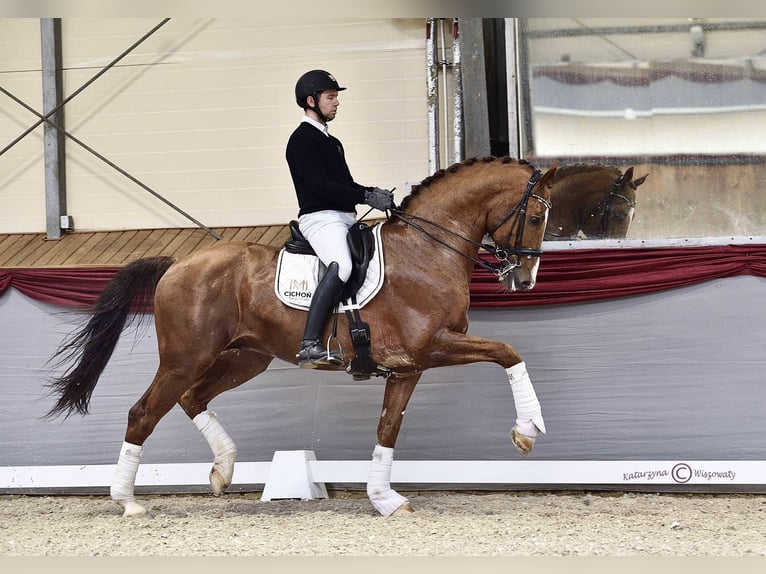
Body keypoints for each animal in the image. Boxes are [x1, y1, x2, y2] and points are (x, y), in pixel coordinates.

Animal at [45, 155, 560, 520]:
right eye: (536, 218)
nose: (525, 280)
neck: (426, 249)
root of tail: (178, 264)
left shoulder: (407, 367)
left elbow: (387, 429)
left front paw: (384, 499)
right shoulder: (431, 346)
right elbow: (508, 352)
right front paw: (528, 430)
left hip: (245, 358)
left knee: (193, 399)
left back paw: (222, 470)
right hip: (185, 357)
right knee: (144, 412)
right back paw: (128, 501)